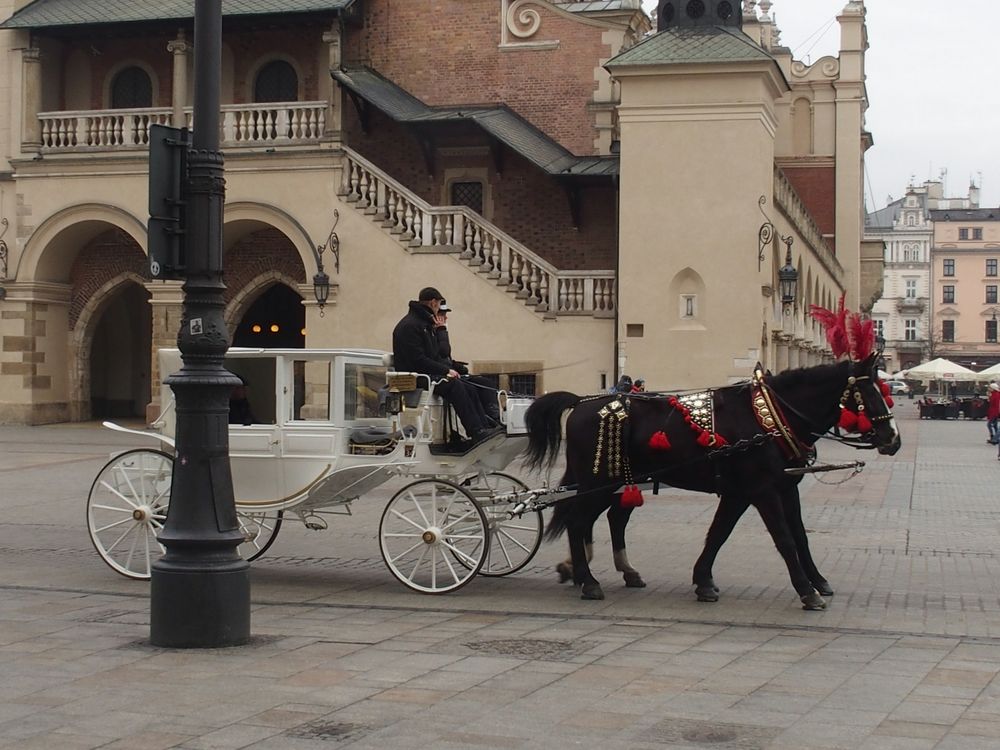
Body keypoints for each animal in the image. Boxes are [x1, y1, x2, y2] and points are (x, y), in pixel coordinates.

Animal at [528, 354, 904, 612]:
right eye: (869, 394)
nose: (893, 439)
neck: (767, 417)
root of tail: (580, 401)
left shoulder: (770, 489)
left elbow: (736, 534)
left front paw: (704, 581)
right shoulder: (762, 490)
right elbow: (783, 539)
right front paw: (807, 592)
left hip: (614, 481)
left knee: (599, 519)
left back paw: (597, 573)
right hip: (599, 480)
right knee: (579, 522)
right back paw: (588, 581)